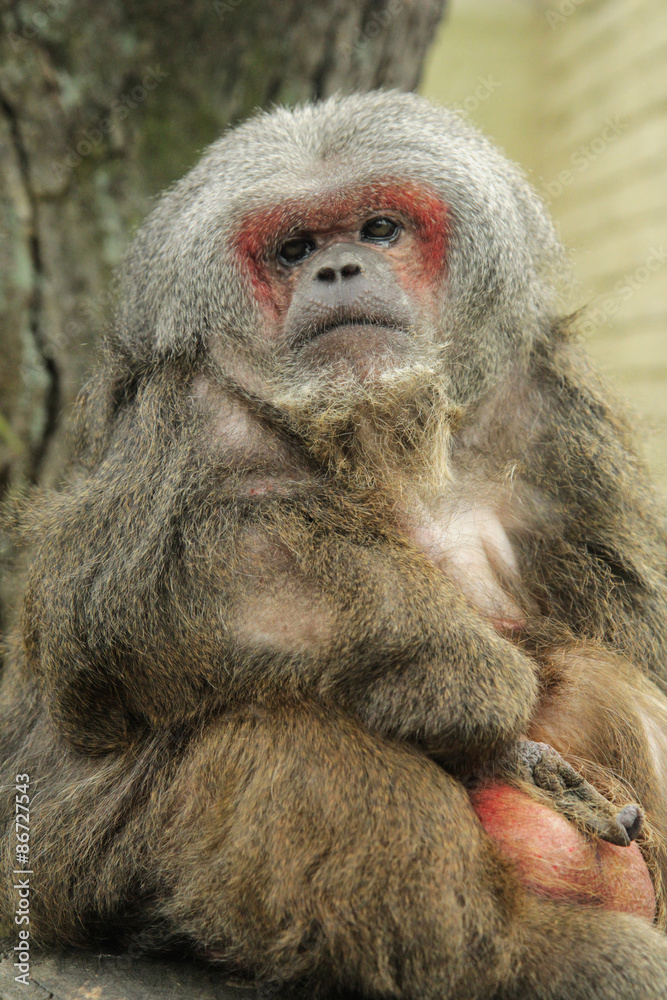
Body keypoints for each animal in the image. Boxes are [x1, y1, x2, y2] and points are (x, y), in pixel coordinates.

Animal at [2, 89, 667, 999]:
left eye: (378, 229)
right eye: (295, 249)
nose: (339, 271)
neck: (375, 430)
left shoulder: (545, 412)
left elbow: (629, 637)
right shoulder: (191, 407)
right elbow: (111, 604)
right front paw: (467, 679)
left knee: (595, 684)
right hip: (73, 865)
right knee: (280, 731)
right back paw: (521, 954)